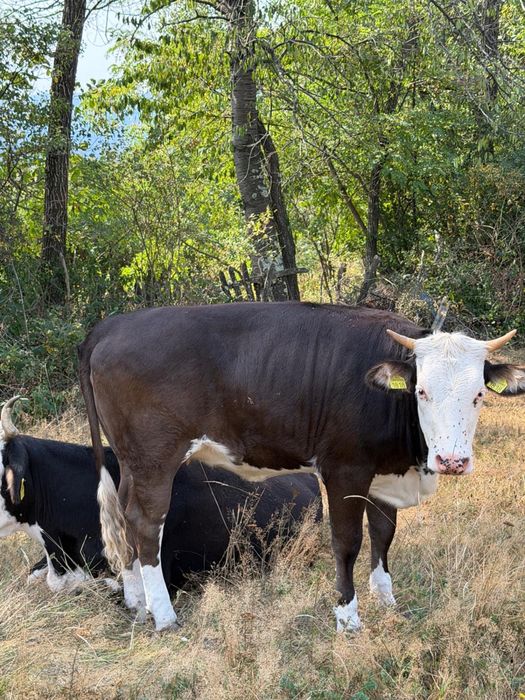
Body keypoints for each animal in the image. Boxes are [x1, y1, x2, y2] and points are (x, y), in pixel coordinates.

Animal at [78, 302, 525, 631]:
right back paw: (164, 614)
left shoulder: (384, 472)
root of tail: (114, 325)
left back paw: (137, 601)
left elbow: (383, 534)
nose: (452, 460)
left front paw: (386, 598)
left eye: (479, 393)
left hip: (133, 460)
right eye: (421, 391)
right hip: (156, 457)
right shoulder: (344, 469)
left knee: (123, 513)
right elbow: (347, 543)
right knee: (146, 522)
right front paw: (348, 616)